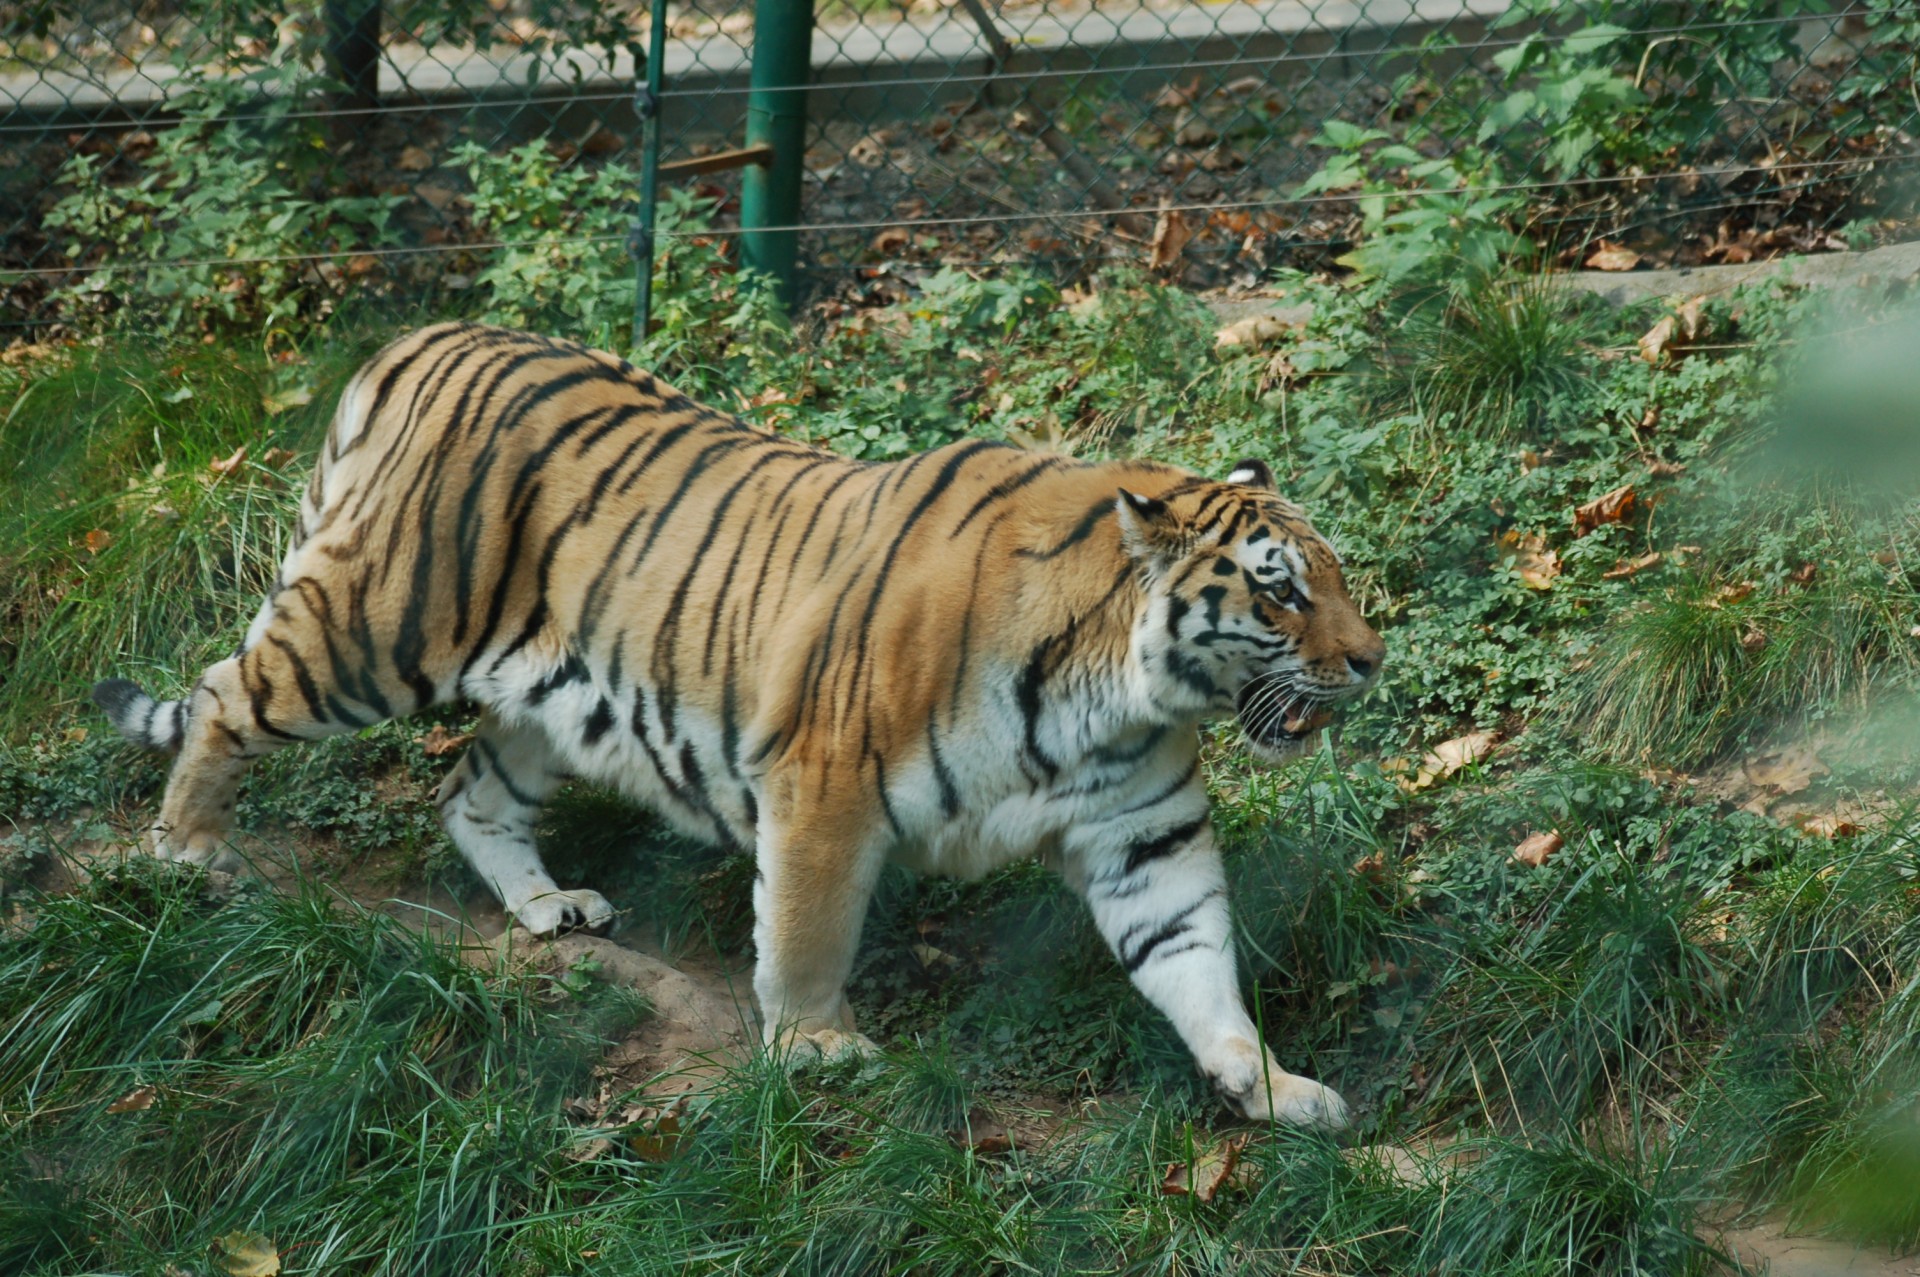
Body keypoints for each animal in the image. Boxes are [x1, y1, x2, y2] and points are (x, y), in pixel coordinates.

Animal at [92, 322, 1385, 1128]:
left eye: (1334, 575)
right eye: (1280, 591)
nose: (1372, 660)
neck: (1116, 694)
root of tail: (413, 342)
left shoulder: (1141, 833)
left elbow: (1195, 958)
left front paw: (1269, 1085)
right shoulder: (824, 783)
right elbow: (808, 932)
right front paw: (817, 1049)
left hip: (548, 697)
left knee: (468, 793)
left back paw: (547, 906)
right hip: (373, 632)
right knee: (223, 696)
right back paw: (189, 851)